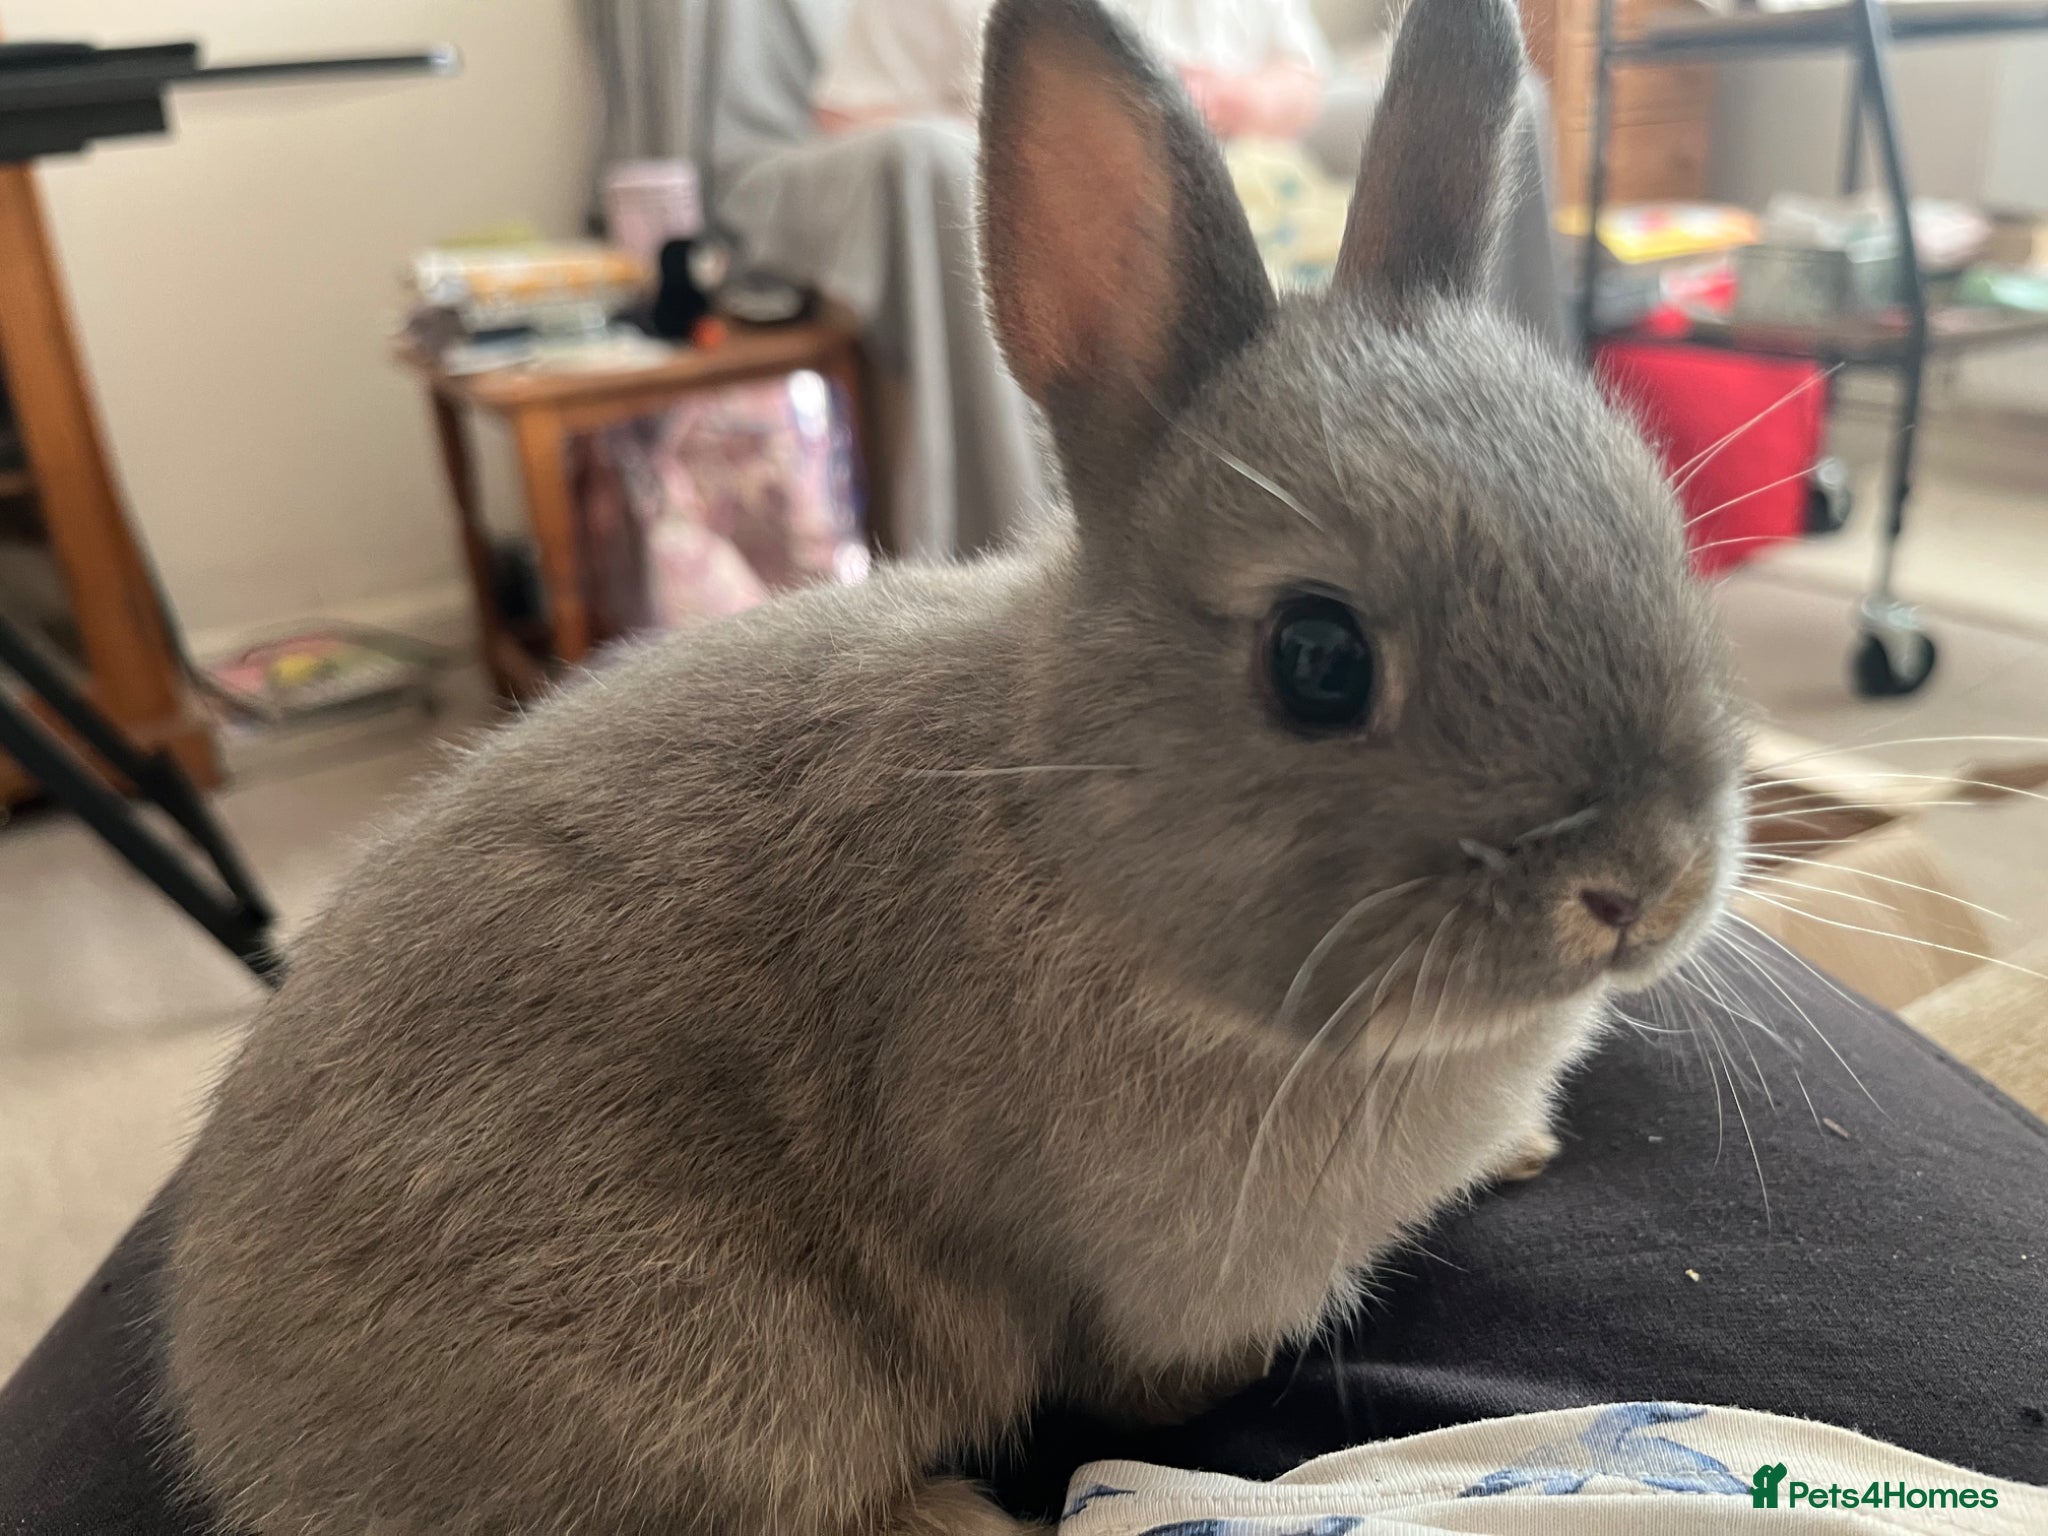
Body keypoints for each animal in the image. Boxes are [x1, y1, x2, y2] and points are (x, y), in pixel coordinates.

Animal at [163, 0, 1745, 1530]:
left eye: (1659, 536)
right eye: (1317, 659)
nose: (1643, 887)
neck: (1072, 832)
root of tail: (247, 1445)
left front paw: (1517, 1147)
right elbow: (1147, 1372)